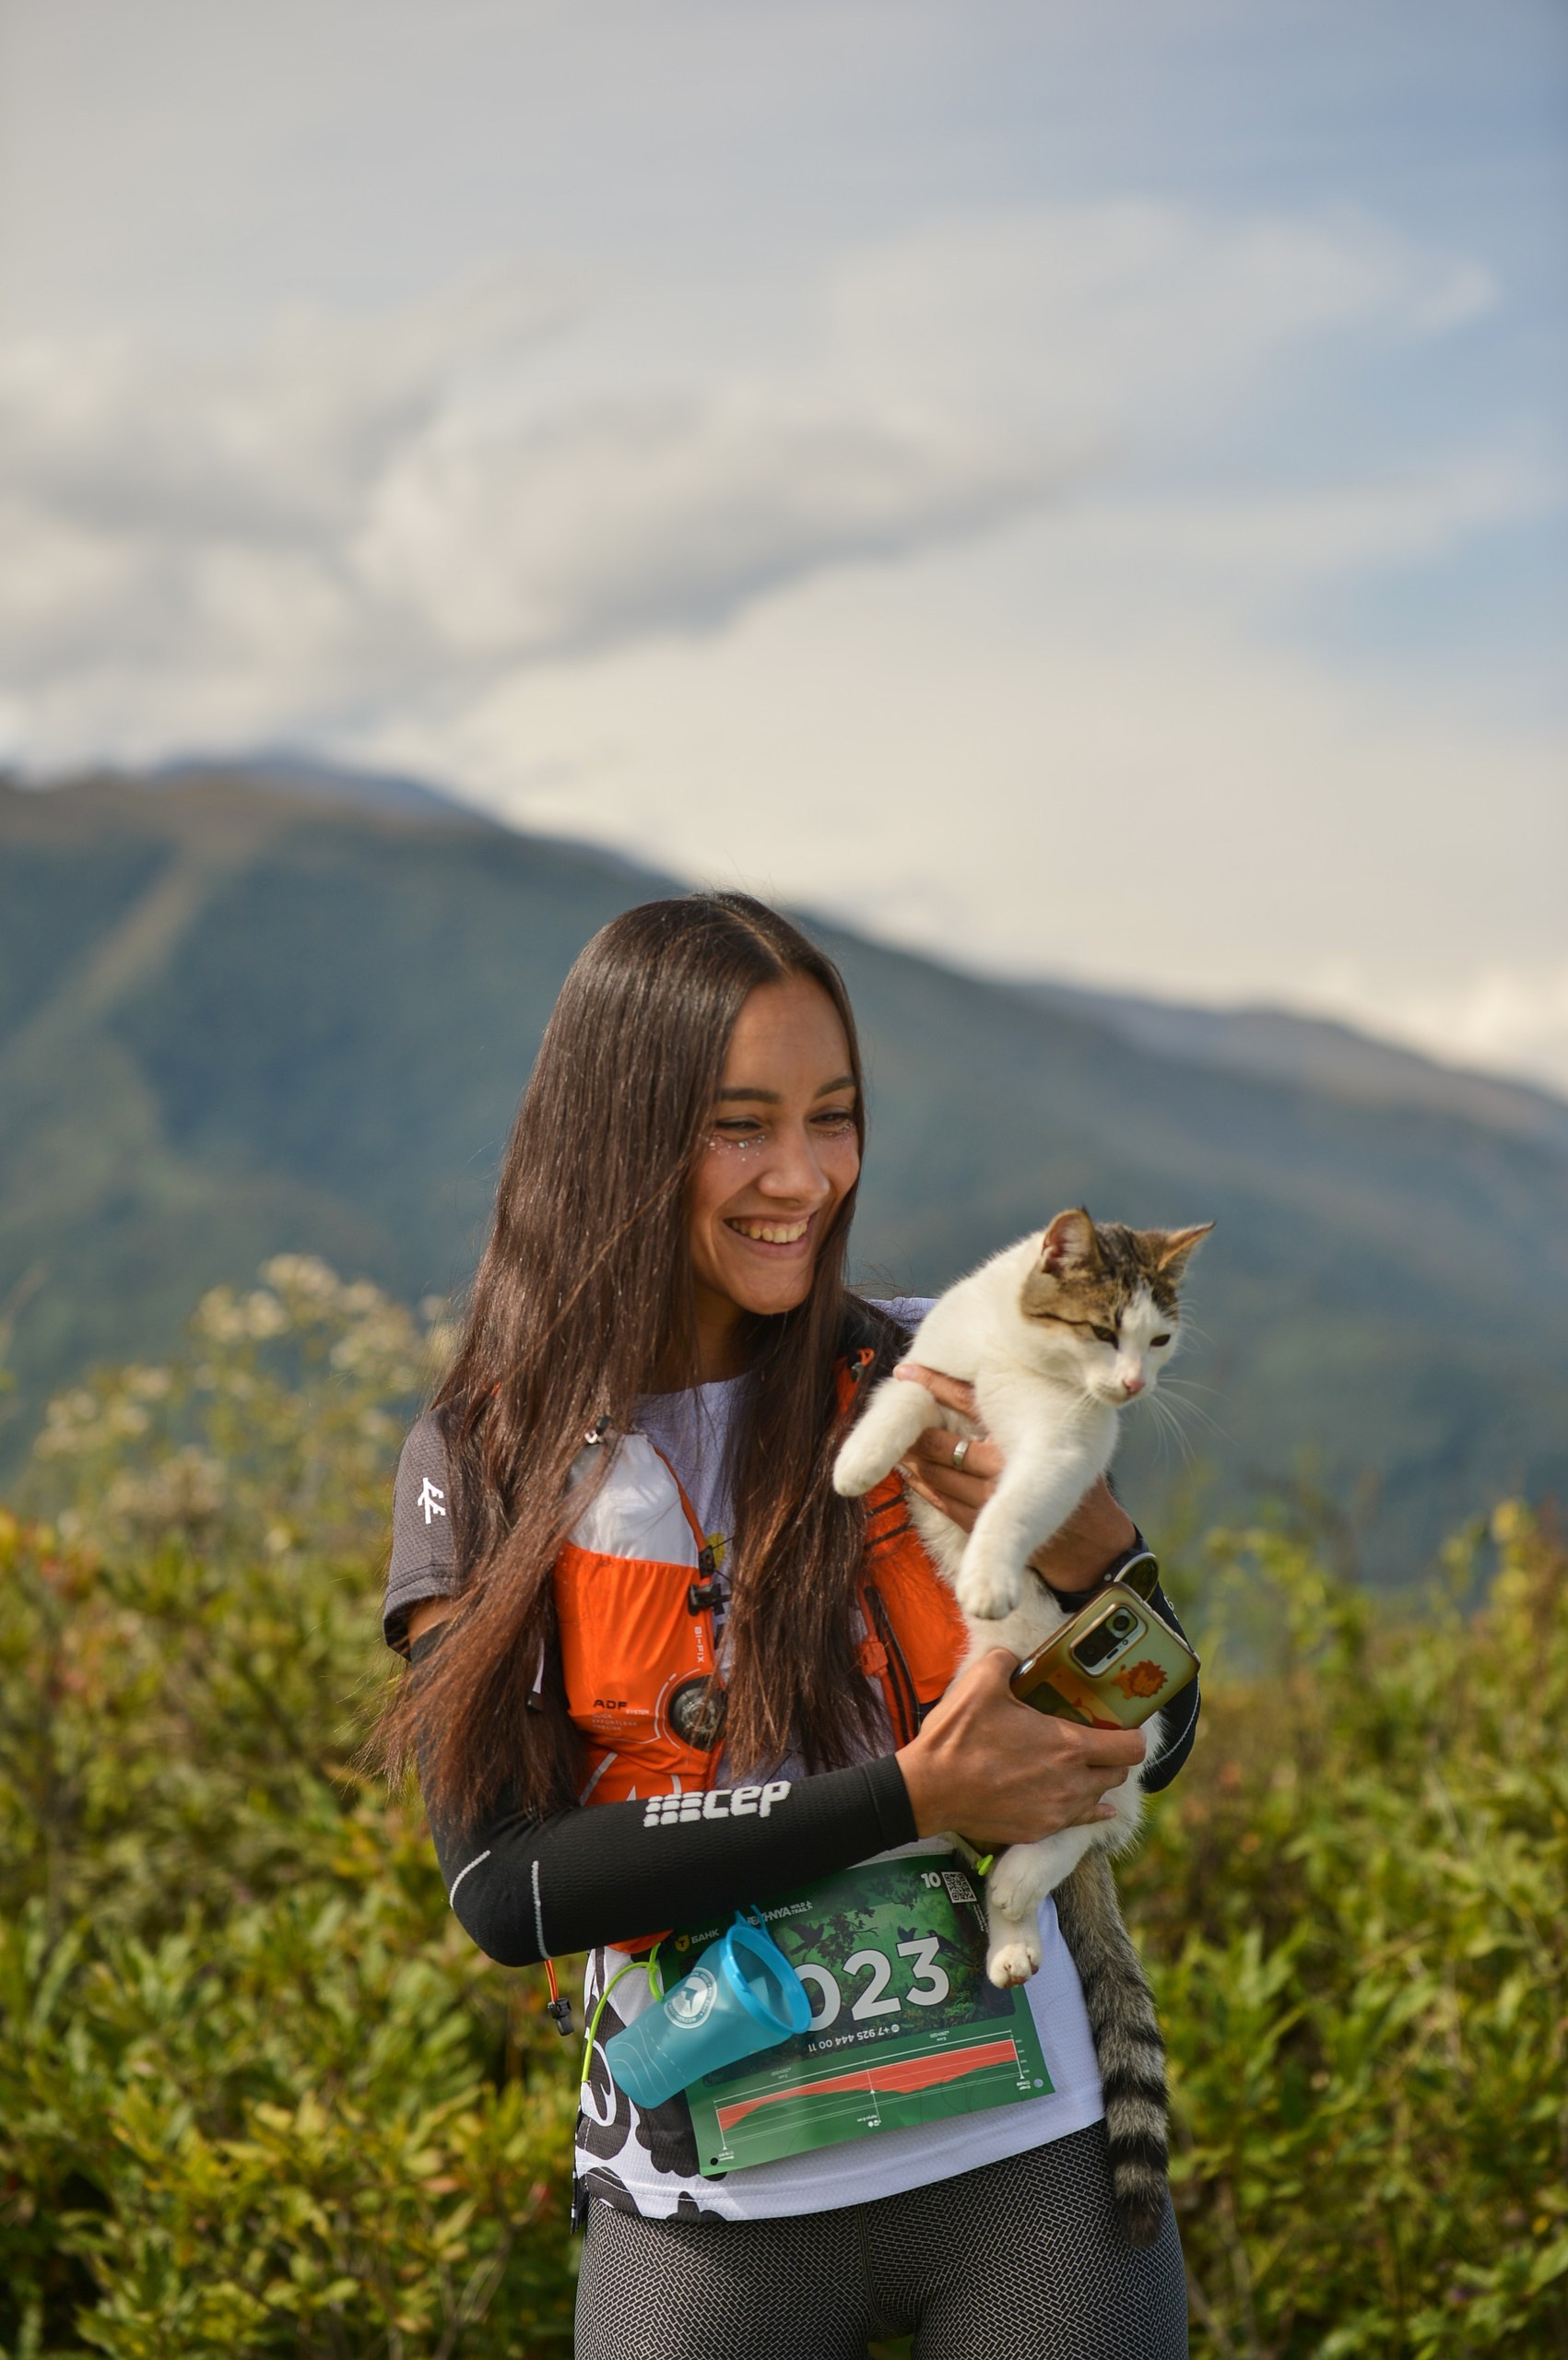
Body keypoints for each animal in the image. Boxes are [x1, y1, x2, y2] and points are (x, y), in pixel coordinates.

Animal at [833, 1204, 1210, 2242]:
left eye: (1158, 1342)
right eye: (1104, 1331)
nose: (1133, 1385)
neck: (1019, 1357)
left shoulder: (1059, 1456)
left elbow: (1011, 1505)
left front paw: (989, 1572)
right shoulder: (933, 1375)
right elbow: (896, 1407)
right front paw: (855, 1462)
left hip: (1118, 1748)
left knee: (1079, 1830)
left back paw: (1018, 1898)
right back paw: (1008, 1938)